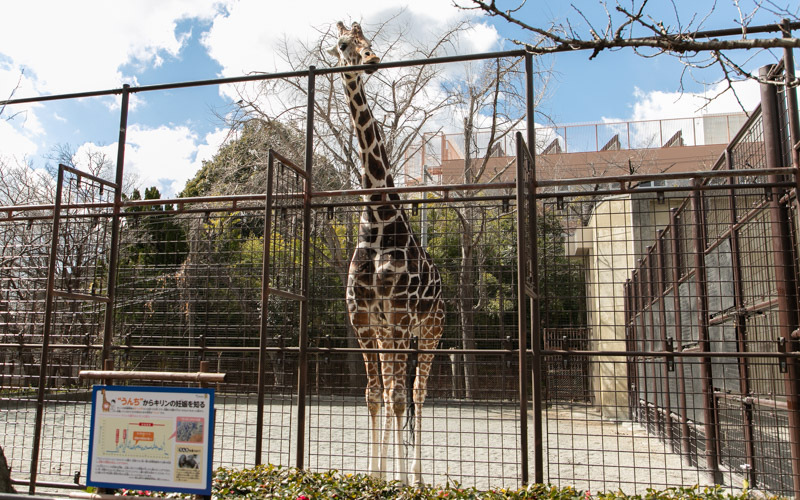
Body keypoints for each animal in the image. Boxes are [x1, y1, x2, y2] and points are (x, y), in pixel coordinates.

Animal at [330, 20, 446, 484]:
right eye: (344, 44)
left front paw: (396, 478)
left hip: (430, 330)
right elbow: (374, 394)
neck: (378, 214)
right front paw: (374, 475)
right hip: (391, 333)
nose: (372, 60)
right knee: (397, 390)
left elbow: (398, 395)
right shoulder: (363, 317)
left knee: (418, 391)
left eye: (370, 41)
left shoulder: (397, 312)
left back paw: (416, 475)